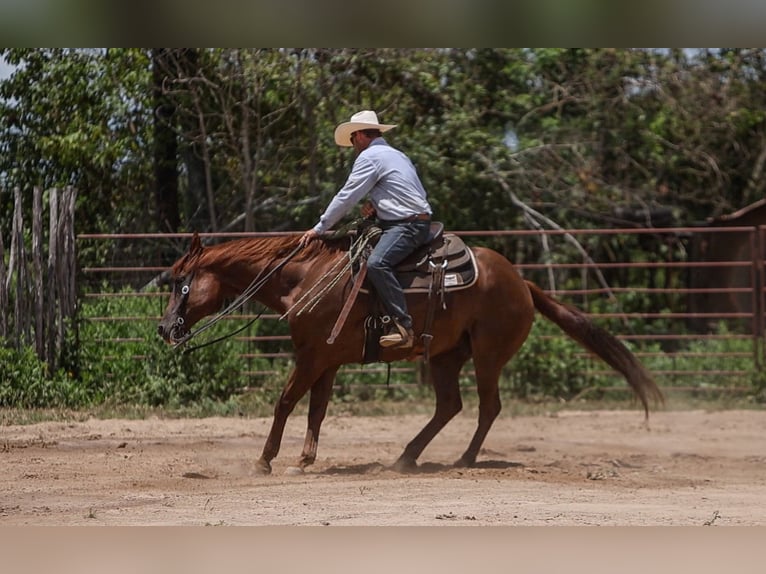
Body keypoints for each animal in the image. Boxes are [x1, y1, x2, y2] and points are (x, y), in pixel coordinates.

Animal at [159, 232, 664, 474]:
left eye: (182, 283)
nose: (165, 328)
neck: (304, 277)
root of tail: (523, 283)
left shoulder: (311, 357)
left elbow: (285, 402)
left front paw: (265, 460)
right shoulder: (325, 359)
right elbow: (317, 410)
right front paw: (304, 460)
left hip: (488, 356)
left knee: (487, 406)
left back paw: (464, 460)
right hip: (444, 356)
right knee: (449, 405)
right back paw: (406, 457)